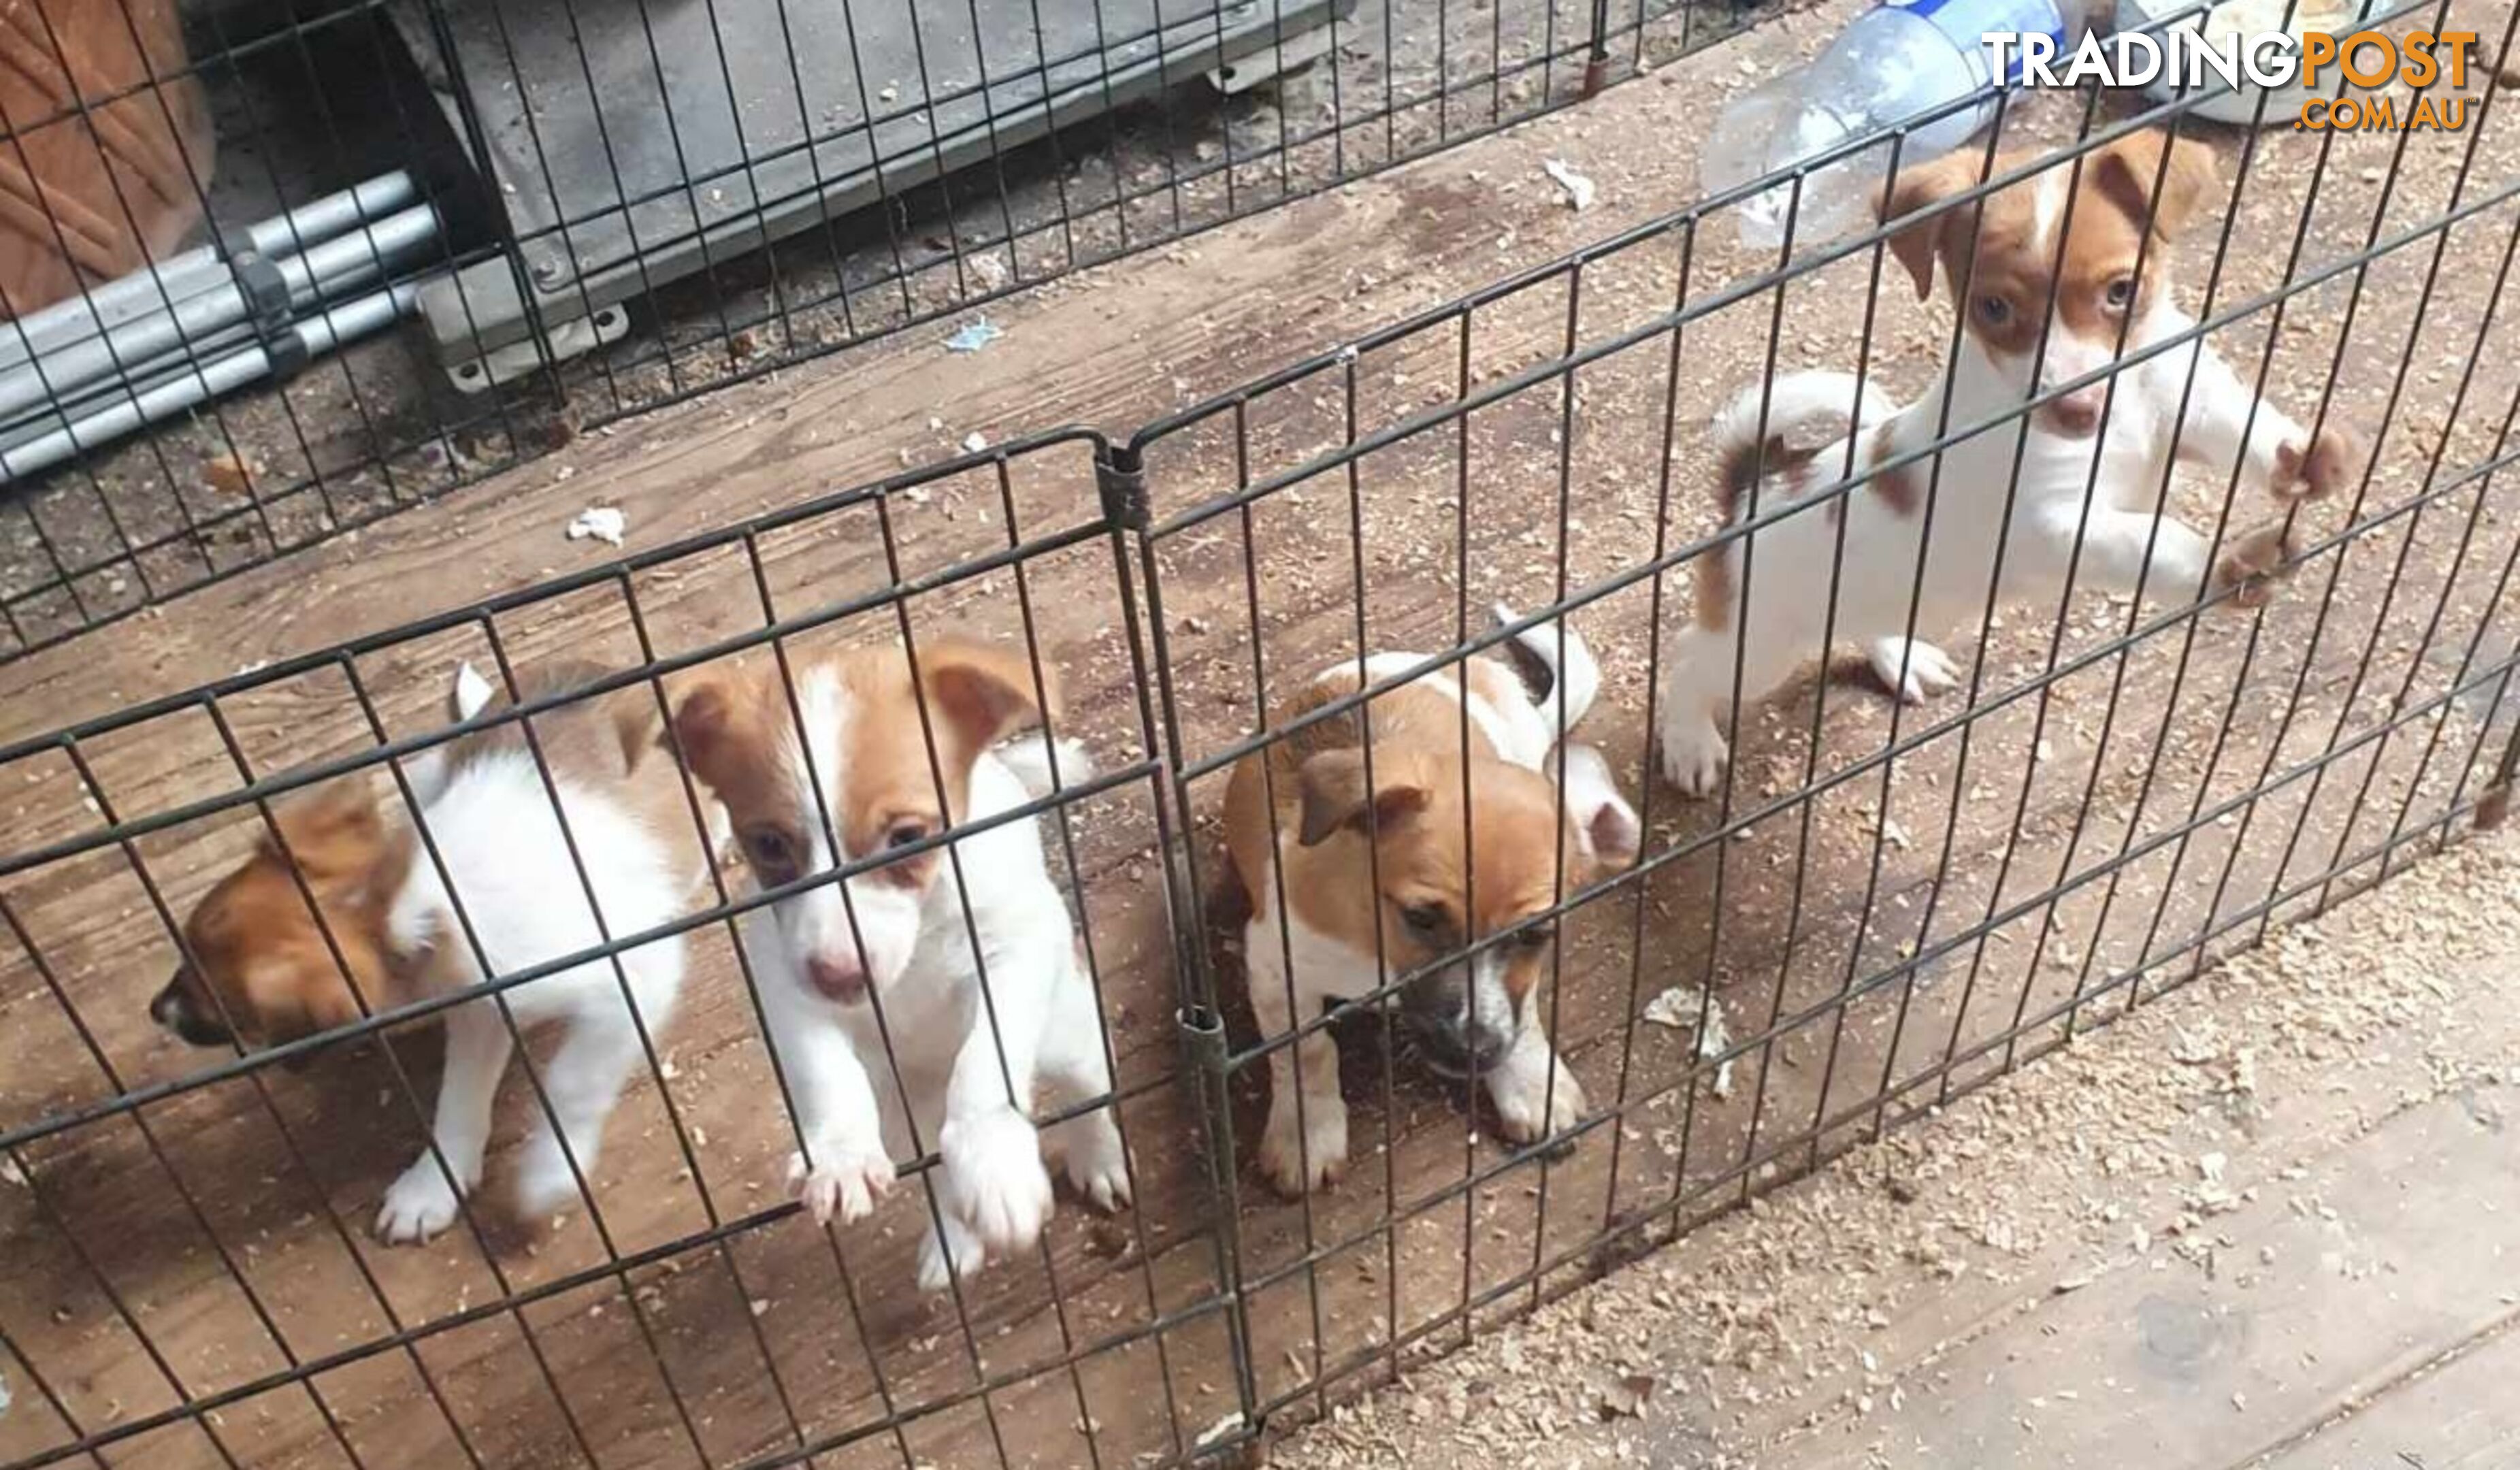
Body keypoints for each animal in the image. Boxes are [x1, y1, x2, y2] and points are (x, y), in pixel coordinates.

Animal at [150, 660, 710, 1250]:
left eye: (226, 1008)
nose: (156, 1010)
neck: (406, 903)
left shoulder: (633, 980)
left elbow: (574, 1082)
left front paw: (547, 1176)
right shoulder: (482, 1005)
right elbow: (458, 1095)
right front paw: (432, 1188)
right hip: (427, 776)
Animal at [675, 640, 1139, 1290]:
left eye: (908, 837)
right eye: (767, 846)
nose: (840, 975)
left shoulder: (1012, 951)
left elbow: (984, 1060)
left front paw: (992, 1154)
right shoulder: (786, 987)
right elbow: (826, 1073)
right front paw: (841, 1152)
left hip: (1071, 1039)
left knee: (1088, 1100)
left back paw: (1098, 1161)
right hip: (904, 1117)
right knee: (934, 1173)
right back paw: (953, 1238)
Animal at [1224, 607, 1653, 1195]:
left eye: (1535, 934)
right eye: (1420, 918)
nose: (1472, 1051)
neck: (1377, 948)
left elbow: (1524, 1015)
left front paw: (1529, 1083)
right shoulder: (1275, 966)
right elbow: (1305, 1053)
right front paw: (1306, 1133)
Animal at [1653, 131, 2359, 802]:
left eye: (2121, 292)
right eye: (1993, 309)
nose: (2077, 408)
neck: (2123, 415)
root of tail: (1755, 486)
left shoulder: (2188, 402)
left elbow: (2246, 427)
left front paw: (2306, 455)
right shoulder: (2055, 523)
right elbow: (2154, 540)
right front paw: (2233, 564)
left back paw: (1901, 658)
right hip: (1757, 644)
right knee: (1687, 664)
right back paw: (1688, 743)